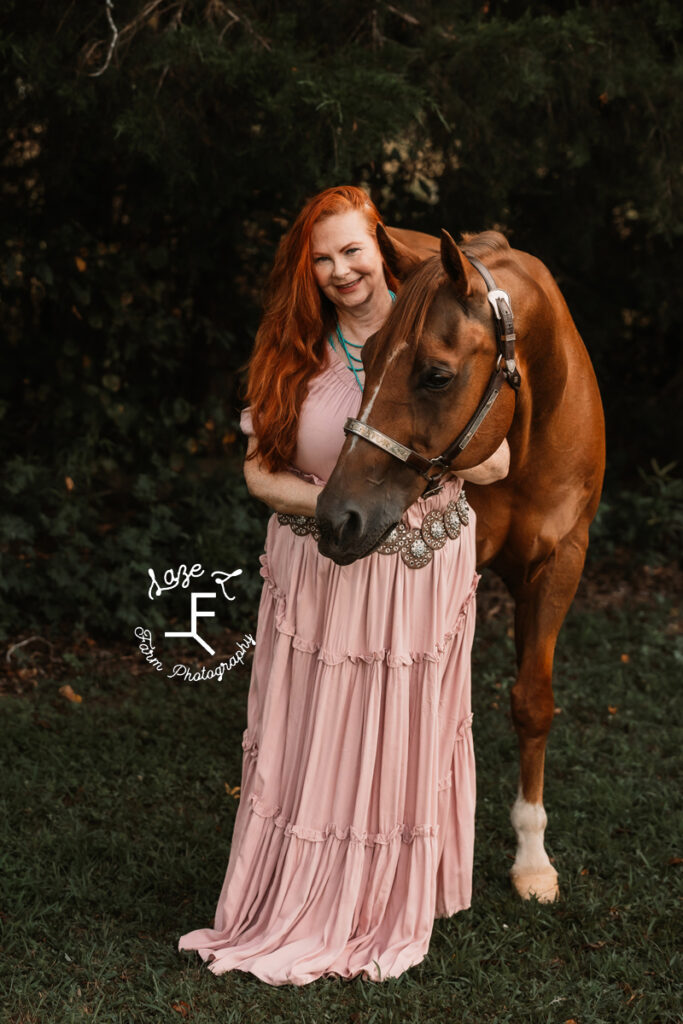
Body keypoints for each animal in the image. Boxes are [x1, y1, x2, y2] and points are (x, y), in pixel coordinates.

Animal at [315, 226, 602, 905]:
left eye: (437, 376)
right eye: (369, 355)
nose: (338, 519)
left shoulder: (560, 566)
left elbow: (531, 700)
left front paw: (532, 857)